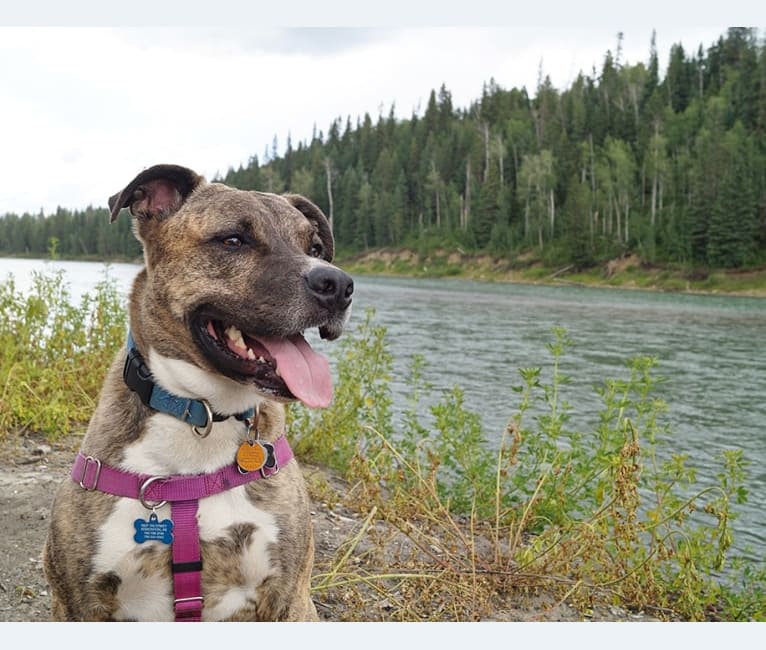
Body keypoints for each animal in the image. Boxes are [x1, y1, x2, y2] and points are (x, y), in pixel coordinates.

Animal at [42, 162, 354, 616]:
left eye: (314, 246)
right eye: (233, 240)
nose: (339, 285)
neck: (203, 412)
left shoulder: (287, 597)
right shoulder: (79, 602)